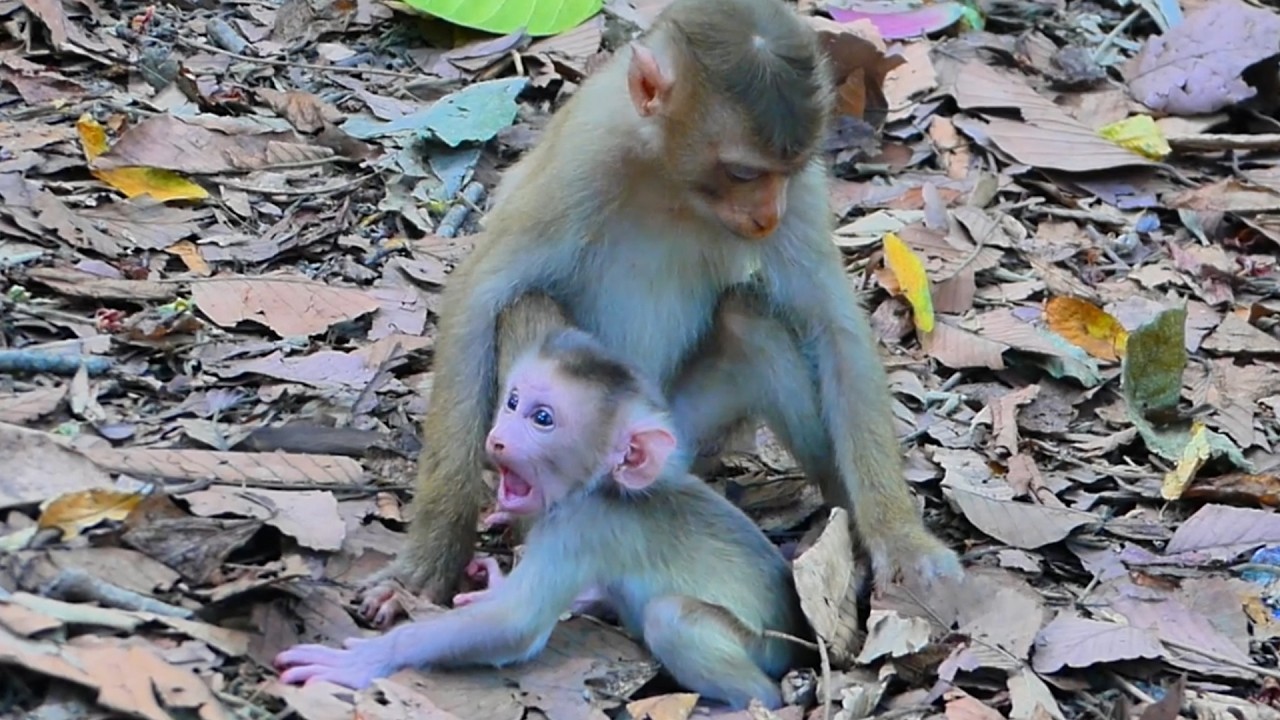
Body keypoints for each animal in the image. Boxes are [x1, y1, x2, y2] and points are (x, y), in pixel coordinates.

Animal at [277, 329, 814, 710]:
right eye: (513, 402)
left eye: (542, 419)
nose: (497, 439)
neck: (597, 486)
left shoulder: (580, 526)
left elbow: (514, 625)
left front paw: (370, 657)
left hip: (763, 648)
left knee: (673, 618)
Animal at [359, 0, 962, 625]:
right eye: (744, 172)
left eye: (786, 172)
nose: (769, 213)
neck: (668, 174)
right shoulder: (583, 153)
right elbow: (479, 298)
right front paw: (428, 559)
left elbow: (832, 326)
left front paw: (899, 538)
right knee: (527, 304)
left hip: (682, 435)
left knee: (751, 320)